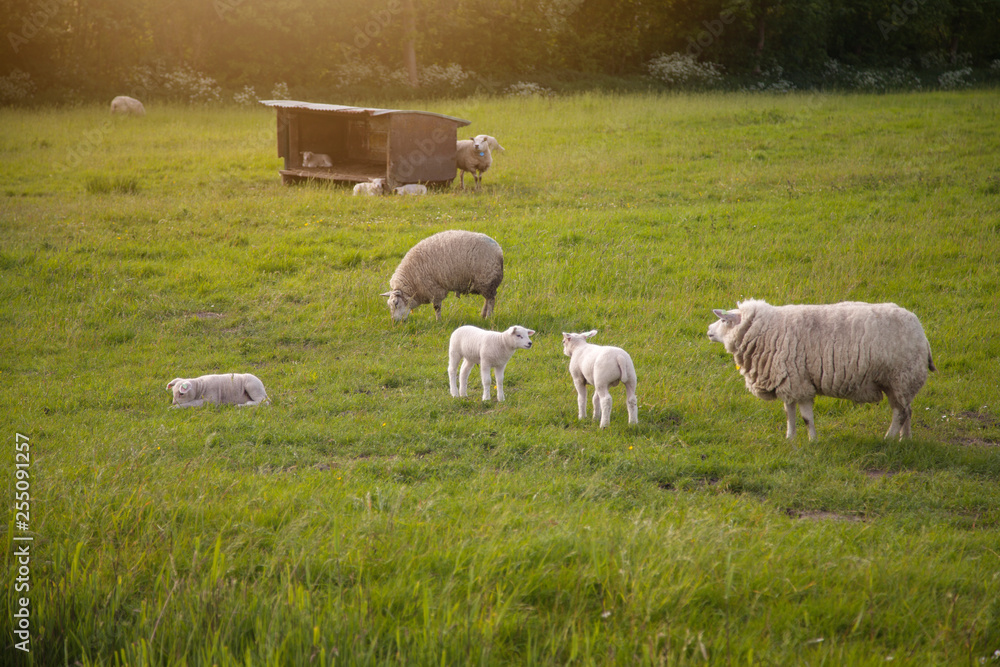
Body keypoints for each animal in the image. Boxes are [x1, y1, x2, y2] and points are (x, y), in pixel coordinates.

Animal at [707, 299, 935, 441]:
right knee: (906, 411)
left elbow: (807, 417)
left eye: (723, 320)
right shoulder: (788, 381)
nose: (708, 331)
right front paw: (790, 438)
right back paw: (905, 439)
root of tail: (922, 333)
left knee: (900, 413)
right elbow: (789, 413)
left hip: (901, 377)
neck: (767, 331)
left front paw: (812, 440)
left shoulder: (800, 382)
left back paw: (888, 439)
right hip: (898, 382)